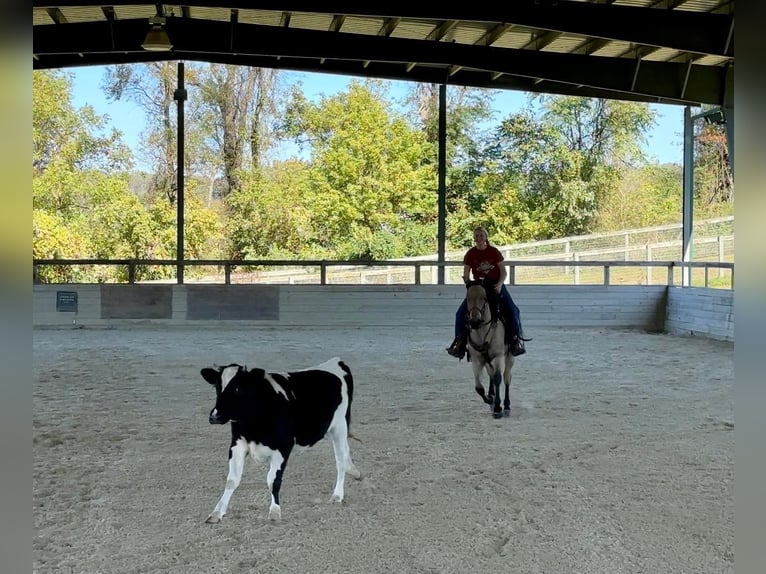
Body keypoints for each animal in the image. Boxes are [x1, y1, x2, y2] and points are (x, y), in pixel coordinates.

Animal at [201, 358, 364, 524]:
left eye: (237, 388)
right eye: (217, 387)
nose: (214, 416)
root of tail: (336, 361)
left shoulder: (282, 448)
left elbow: (273, 480)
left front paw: (274, 511)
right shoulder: (237, 445)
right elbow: (232, 480)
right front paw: (217, 512)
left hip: (340, 427)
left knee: (340, 460)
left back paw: (338, 495)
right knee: (345, 451)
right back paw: (354, 471)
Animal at [462, 282, 516, 420]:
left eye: (484, 298)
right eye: (467, 299)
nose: (474, 321)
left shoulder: (498, 357)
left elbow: (497, 379)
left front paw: (497, 408)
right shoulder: (476, 360)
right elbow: (478, 387)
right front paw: (490, 400)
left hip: (509, 358)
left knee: (507, 378)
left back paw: (506, 406)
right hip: (487, 361)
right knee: (491, 374)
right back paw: (491, 396)